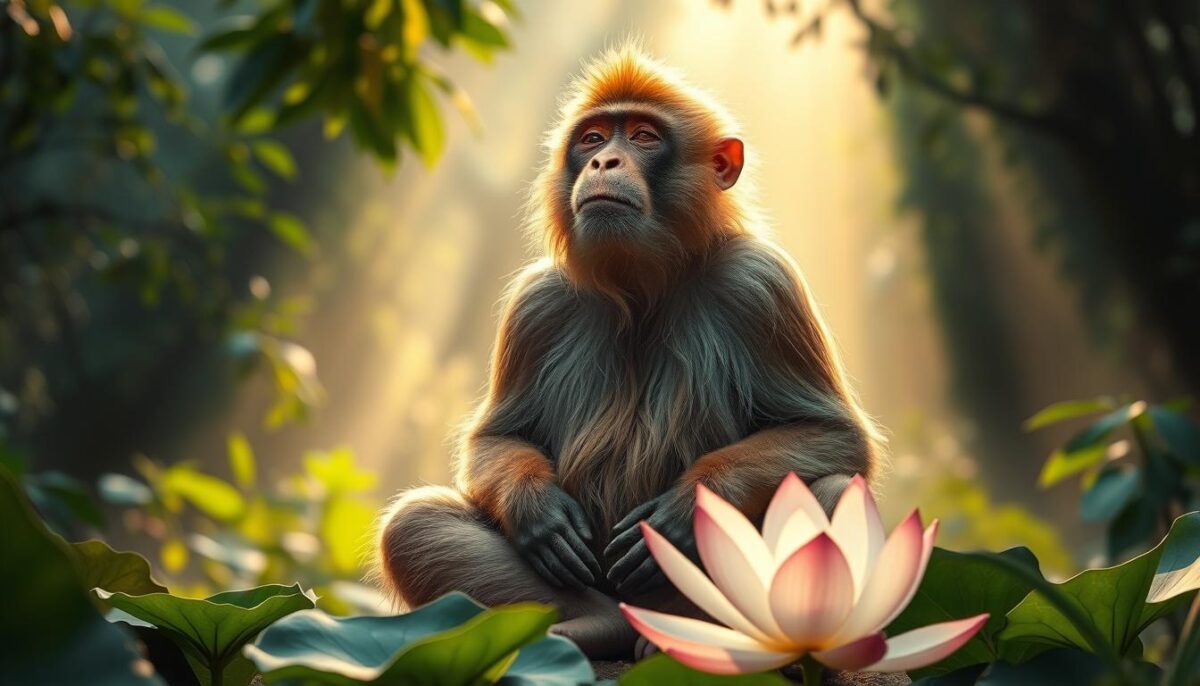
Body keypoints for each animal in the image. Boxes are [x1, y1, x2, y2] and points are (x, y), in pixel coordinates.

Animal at [376, 45, 882, 660]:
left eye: (643, 136)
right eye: (593, 139)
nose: (603, 163)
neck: (642, 287)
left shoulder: (762, 283)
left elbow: (835, 436)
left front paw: (684, 510)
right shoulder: (536, 304)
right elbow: (495, 440)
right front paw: (538, 509)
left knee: (832, 489)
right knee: (413, 525)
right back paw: (598, 624)